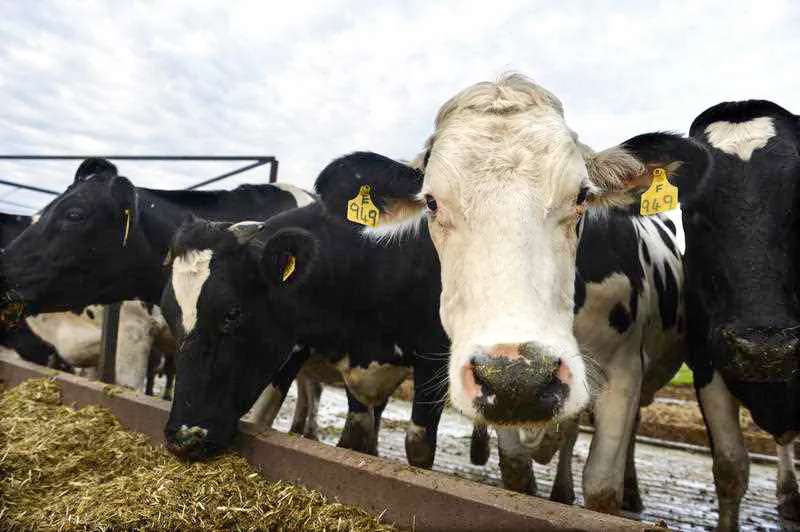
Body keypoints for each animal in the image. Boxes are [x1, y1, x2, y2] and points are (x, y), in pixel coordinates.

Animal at [337, 74, 706, 514]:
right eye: (431, 202)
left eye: (582, 196)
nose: (520, 377)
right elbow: (515, 470)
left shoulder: (625, 372)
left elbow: (601, 484)